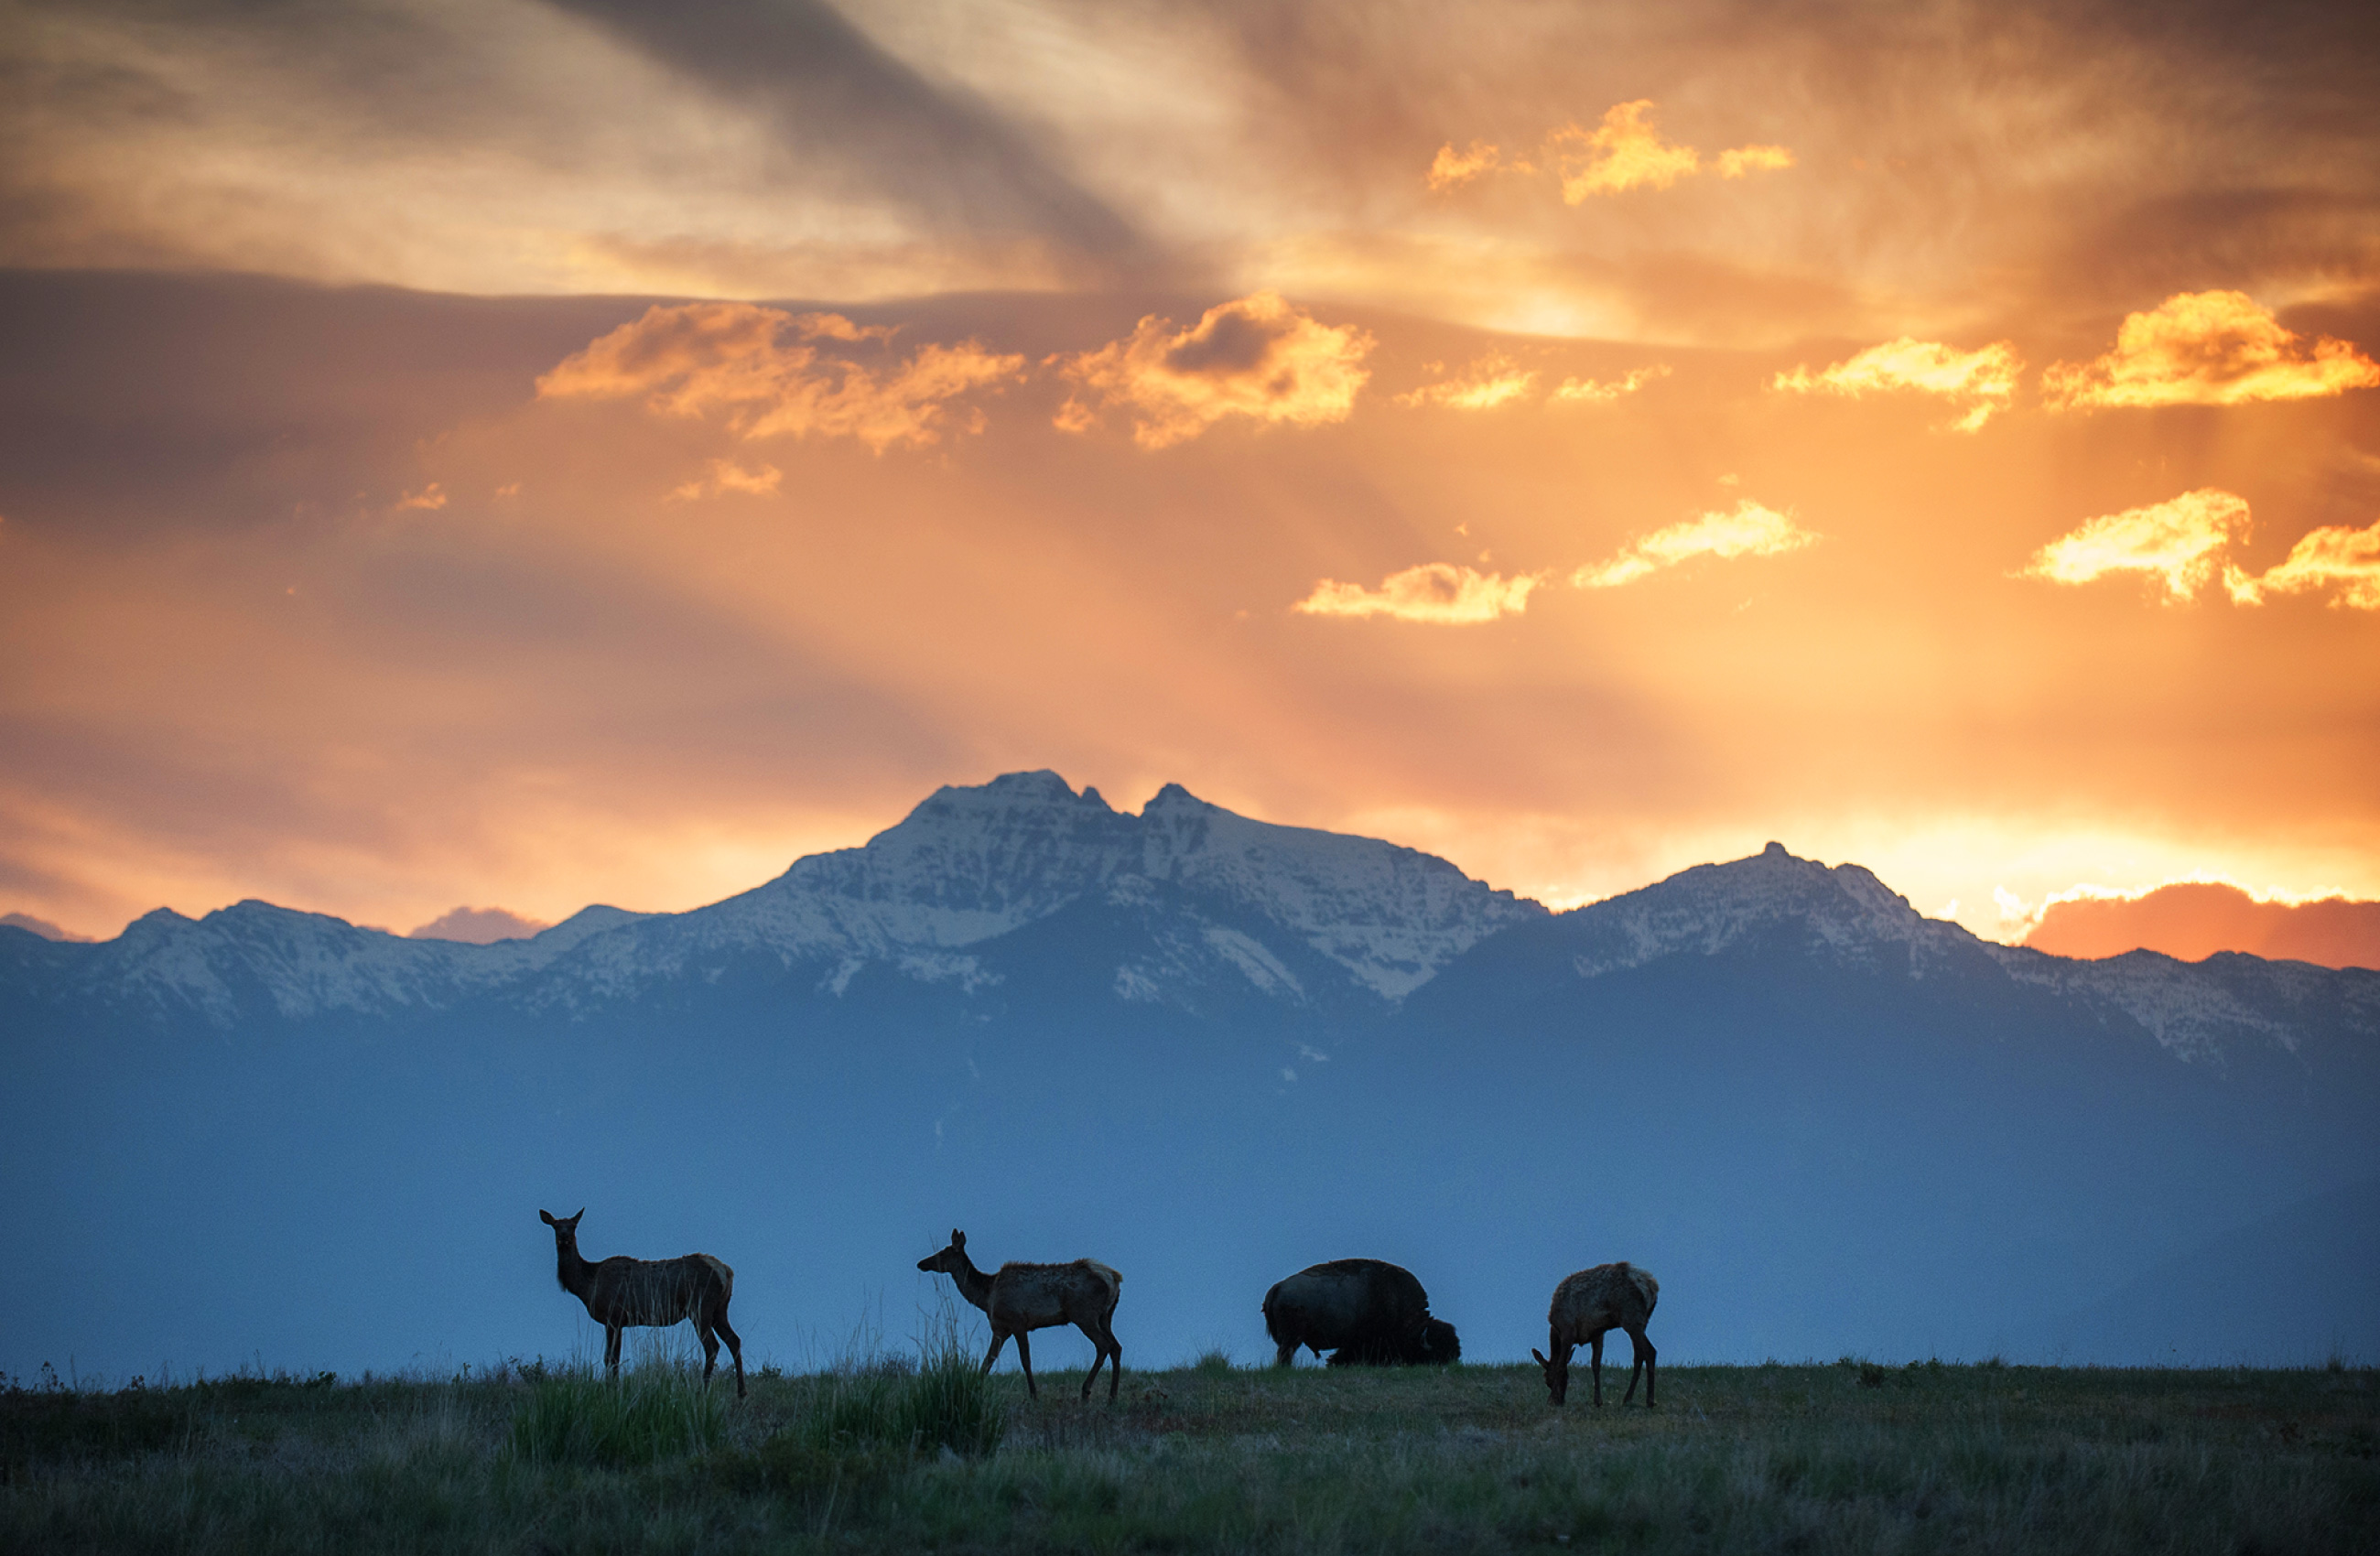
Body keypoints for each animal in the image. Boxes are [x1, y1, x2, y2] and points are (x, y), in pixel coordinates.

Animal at [540, 1208, 742, 1399]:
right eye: (556, 1226)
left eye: (573, 1225)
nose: (564, 1237)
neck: (587, 1285)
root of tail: (726, 1271)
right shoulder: (618, 1321)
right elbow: (612, 1358)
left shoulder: (614, 1316)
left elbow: (611, 1358)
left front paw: (612, 1390)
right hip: (719, 1310)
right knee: (734, 1340)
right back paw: (741, 1393)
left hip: (701, 1308)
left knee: (713, 1347)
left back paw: (703, 1392)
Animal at [918, 1237, 1123, 1408]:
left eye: (943, 1252)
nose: (921, 1263)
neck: (986, 1297)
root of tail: (1114, 1279)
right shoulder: (1001, 1329)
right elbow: (988, 1359)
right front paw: (974, 1388)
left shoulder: (1017, 1322)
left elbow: (1025, 1360)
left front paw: (1034, 1396)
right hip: (1106, 1316)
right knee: (1116, 1346)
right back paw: (1112, 1397)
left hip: (1084, 1314)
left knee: (1104, 1345)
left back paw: (1086, 1392)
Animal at [1532, 1265, 1665, 1418]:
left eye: (1547, 1379)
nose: (1561, 1401)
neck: (1556, 1329)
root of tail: (1652, 1286)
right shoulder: (1598, 1333)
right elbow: (1596, 1365)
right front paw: (1598, 1401)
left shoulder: (1568, 1331)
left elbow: (1560, 1365)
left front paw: (1550, 1400)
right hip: (1642, 1321)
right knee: (1639, 1355)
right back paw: (1628, 1399)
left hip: (1632, 1318)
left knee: (1649, 1351)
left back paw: (1649, 1401)